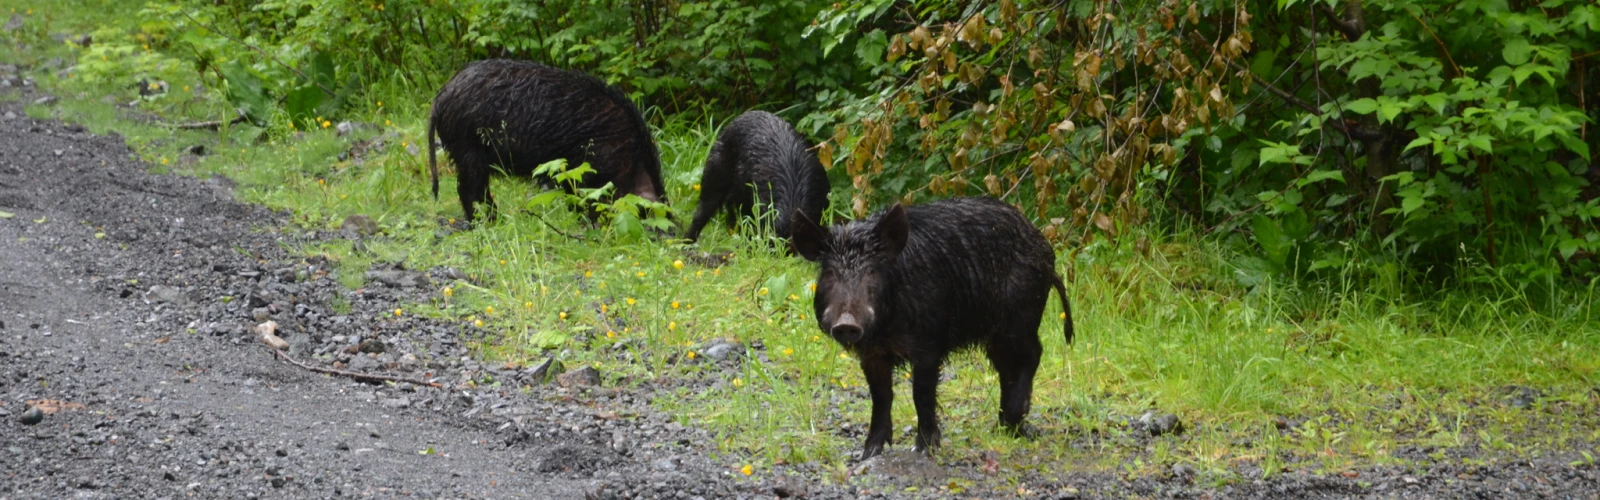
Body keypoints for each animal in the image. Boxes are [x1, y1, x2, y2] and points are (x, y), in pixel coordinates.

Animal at [427, 59, 667, 223]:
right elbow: (584, 197)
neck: (628, 156)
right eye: (649, 211)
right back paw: (485, 222)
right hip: (468, 150)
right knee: (469, 190)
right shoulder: (586, 167)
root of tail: (441, 97)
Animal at [790, 197, 1073, 459]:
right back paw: (1003, 427)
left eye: (871, 272)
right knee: (1007, 367)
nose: (846, 323)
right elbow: (881, 396)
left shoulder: (928, 344)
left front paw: (925, 449)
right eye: (830, 274)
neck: (887, 329)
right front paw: (869, 453)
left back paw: (1013, 426)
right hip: (996, 333)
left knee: (1031, 355)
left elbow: (921, 394)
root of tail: (1045, 251)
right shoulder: (872, 354)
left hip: (1021, 316)